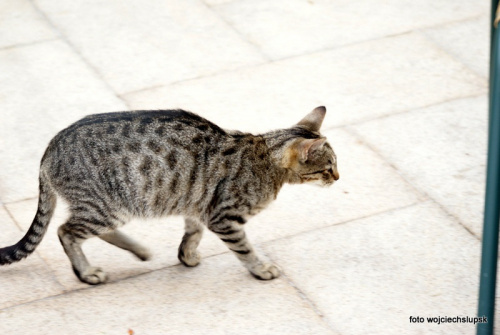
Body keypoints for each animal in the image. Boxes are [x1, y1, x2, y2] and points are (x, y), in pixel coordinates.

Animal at [0, 106, 338, 284]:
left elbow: (193, 232)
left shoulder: (198, 201)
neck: (264, 155)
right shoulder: (224, 217)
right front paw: (261, 268)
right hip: (105, 205)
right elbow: (244, 249)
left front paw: (186, 255)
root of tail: (50, 147)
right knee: (65, 231)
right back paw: (86, 272)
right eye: (330, 166)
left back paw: (140, 251)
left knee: (96, 231)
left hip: (111, 208)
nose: (338, 178)